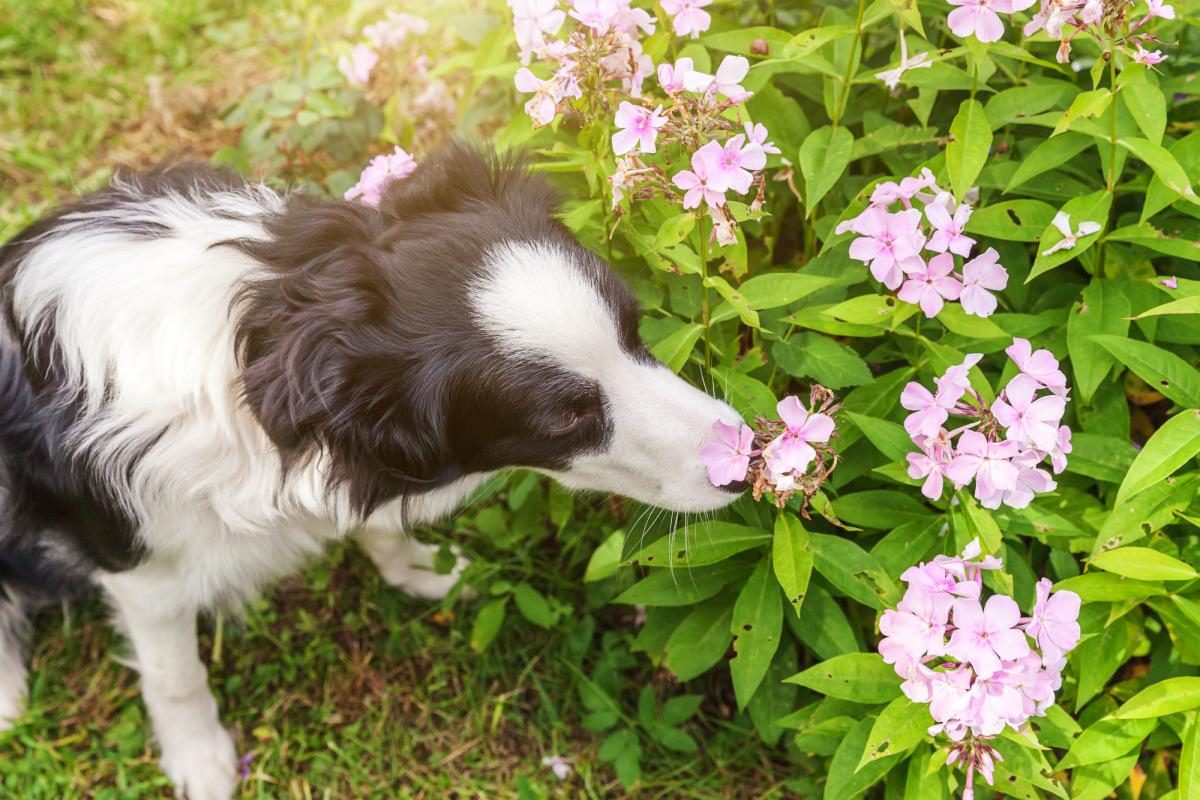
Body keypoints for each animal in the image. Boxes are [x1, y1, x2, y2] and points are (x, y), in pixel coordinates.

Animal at [0, 142, 739, 796]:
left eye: (635, 329)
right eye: (565, 417)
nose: (747, 458)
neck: (261, 341)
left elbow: (381, 526)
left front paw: (425, 571)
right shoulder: (141, 566)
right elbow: (175, 674)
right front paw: (200, 761)